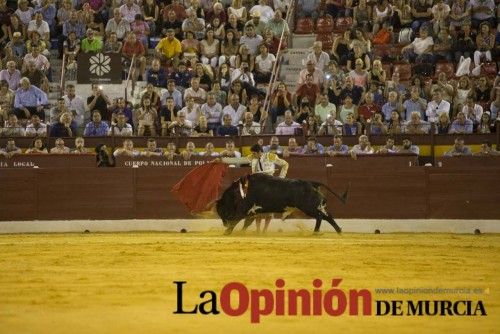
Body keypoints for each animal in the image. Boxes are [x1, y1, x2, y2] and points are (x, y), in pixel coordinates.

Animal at [217, 175, 350, 235]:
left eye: (222, 211)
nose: (224, 224)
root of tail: (311, 183)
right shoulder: (252, 211)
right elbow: (246, 222)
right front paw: (241, 232)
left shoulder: (245, 209)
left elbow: (236, 219)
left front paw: (227, 232)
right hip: (315, 206)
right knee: (327, 216)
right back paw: (338, 230)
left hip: (309, 207)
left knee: (320, 216)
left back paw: (316, 232)